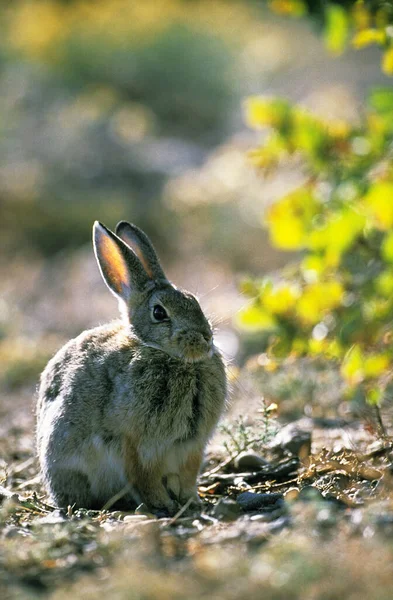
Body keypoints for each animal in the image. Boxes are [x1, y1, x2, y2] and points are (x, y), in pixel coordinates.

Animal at [37, 221, 227, 516]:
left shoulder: (191, 449)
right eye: (159, 313)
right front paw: (163, 504)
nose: (206, 337)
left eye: (194, 301)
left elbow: (187, 477)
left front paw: (190, 501)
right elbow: (145, 477)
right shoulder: (139, 446)